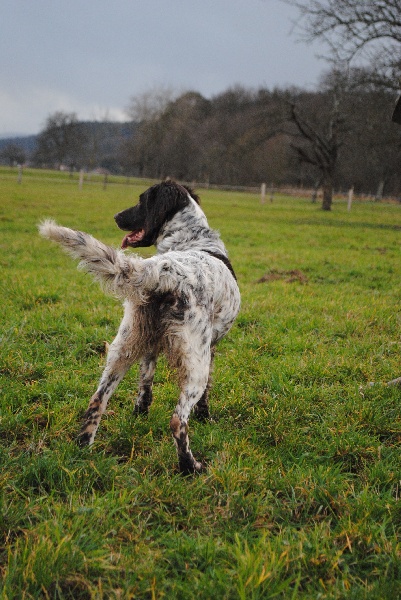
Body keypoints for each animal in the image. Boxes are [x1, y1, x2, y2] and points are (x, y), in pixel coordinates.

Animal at [39, 179, 239, 474]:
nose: (115, 216)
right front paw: (205, 417)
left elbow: (145, 383)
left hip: (122, 348)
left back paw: (83, 447)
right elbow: (206, 395)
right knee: (178, 420)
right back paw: (191, 467)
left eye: (141, 200)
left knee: (97, 399)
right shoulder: (210, 349)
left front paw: (139, 414)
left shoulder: (149, 346)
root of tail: (164, 272)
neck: (192, 241)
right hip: (195, 363)